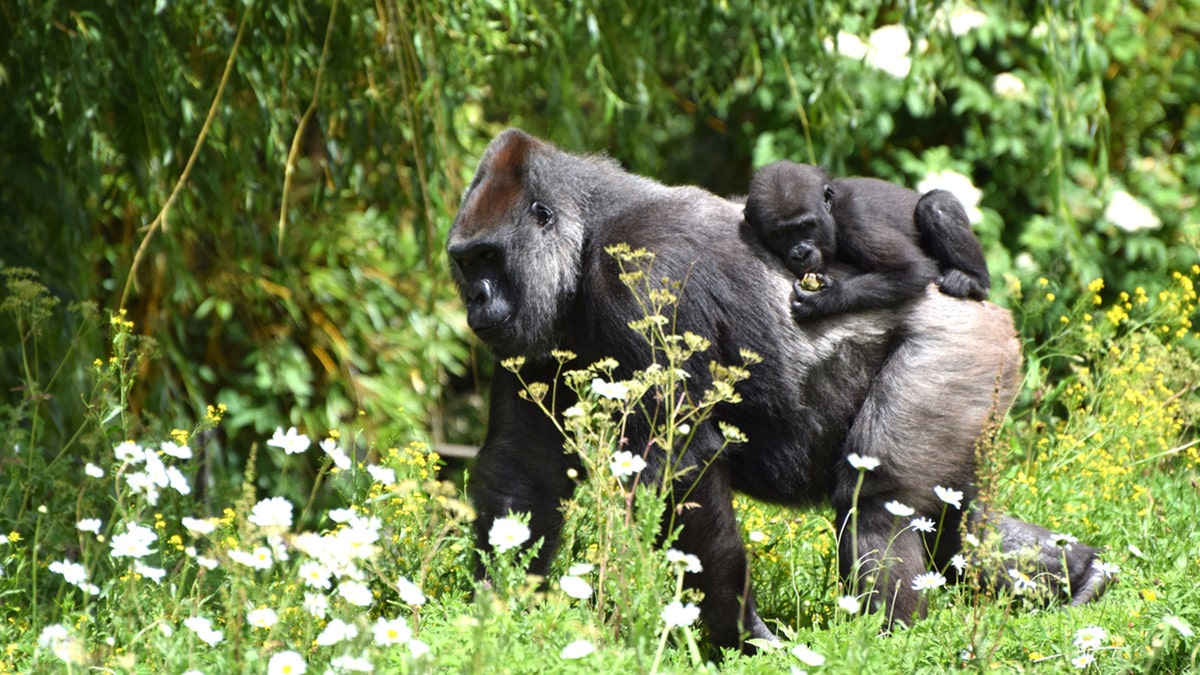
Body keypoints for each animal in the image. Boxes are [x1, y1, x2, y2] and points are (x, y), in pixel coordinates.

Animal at [744, 162, 988, 321]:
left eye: (805, 227)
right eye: (780, 235)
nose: (801, 252)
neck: (831, 213)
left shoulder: (855, 220)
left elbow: (913, 269)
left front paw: (828, 298)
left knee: (935, 204)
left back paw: (973, 280)